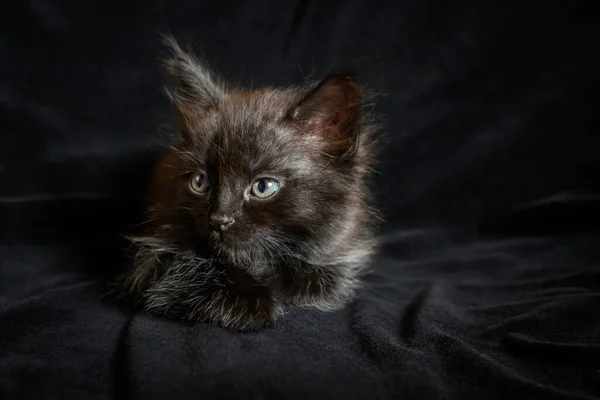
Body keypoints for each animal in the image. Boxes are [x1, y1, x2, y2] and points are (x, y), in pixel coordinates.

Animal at [122, 36, 380, 332]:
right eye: (200, 182)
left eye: (263, 187)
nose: (219, 220)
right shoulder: (150, 256)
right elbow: (186, 265)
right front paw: (252, 300)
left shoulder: (339, 256)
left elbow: (318, 280)